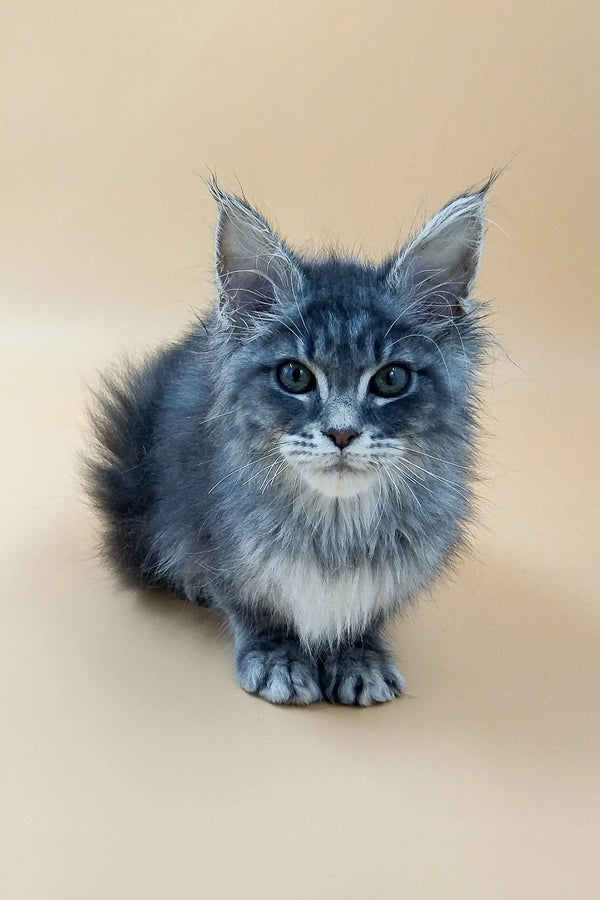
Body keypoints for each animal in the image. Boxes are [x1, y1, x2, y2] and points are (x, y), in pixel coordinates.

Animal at [89, 179, 492, 708]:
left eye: (391, 379)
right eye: (295, 376)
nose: (342, 433)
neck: (336, 528)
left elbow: (364, 614)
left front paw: (358, 656)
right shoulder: (216, 536)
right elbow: (255, 608)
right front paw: (277, 657)